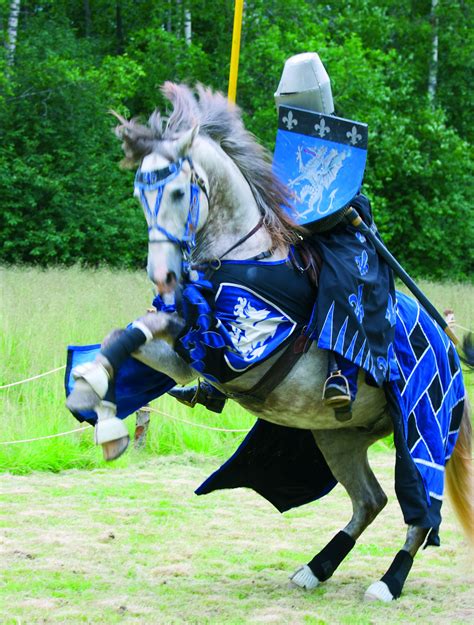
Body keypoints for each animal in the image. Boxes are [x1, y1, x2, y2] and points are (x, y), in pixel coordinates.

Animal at [68, 83, 472, 600]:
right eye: (141, 192)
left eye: (178, 191)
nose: (163, 276)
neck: (244, 255)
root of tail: (448, 348)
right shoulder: (185, 349)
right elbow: (126, 336)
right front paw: (96, 402)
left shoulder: (239, 347)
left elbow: (152, 332)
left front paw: (98, 400)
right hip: (337, 436)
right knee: (370, 500)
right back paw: (317, 568)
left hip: (423, 430)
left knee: (420, 510)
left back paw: (389, 581)